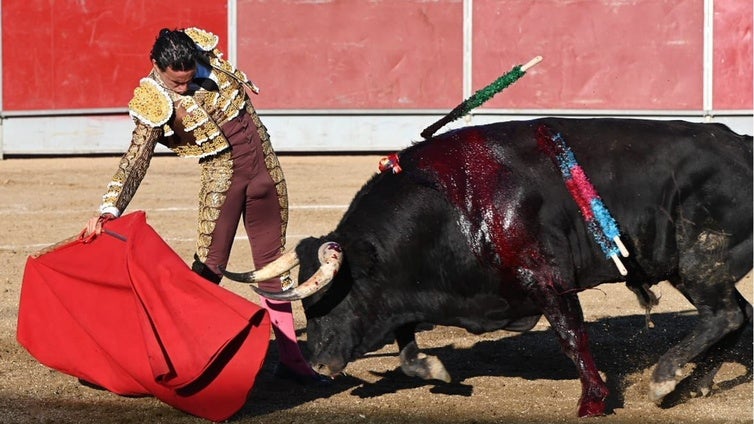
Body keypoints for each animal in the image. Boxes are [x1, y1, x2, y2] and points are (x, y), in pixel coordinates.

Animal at [220, 117, 748, 418]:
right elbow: (407, 342)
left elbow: (572, 336)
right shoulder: (409, 293)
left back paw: (664, 378)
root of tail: (741, 143)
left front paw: (593, 401)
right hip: (696, 268)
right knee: (736, 315)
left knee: (724, 315)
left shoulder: (547, 279)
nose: (318, 364)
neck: (454, 205)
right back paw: (695, 383)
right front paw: (434, 367)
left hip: (700, 259)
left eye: (333, 297)